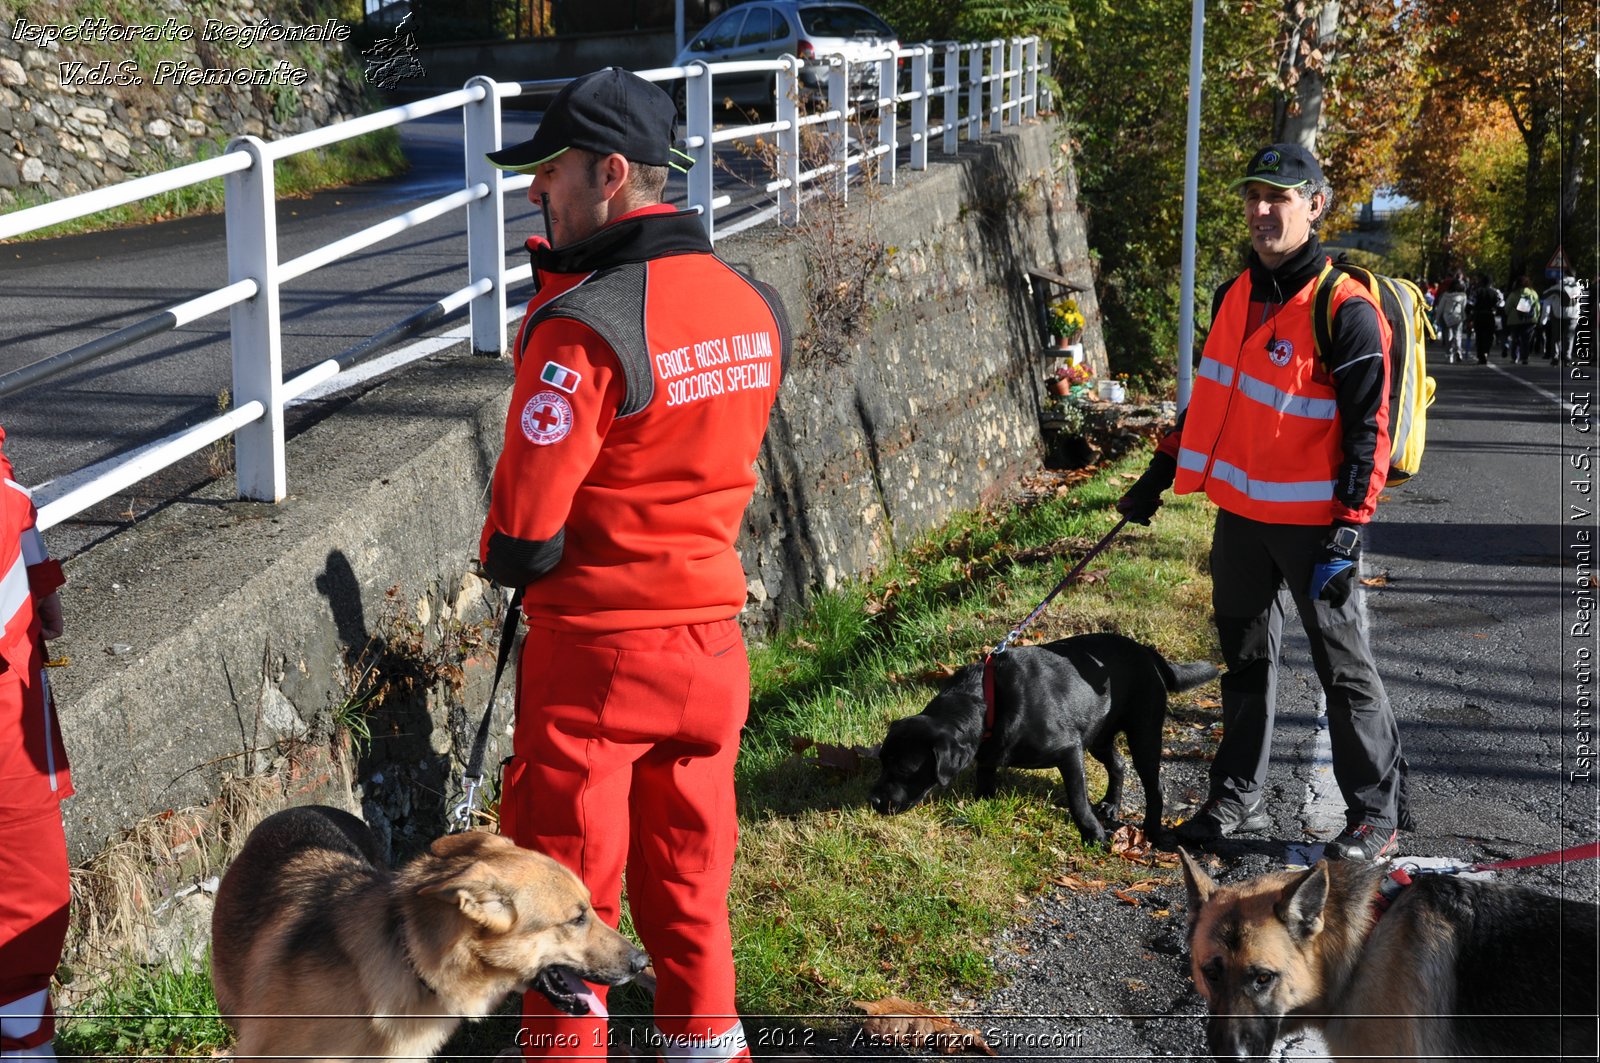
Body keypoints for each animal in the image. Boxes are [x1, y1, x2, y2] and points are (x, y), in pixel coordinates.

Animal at [870, 630, 1216, 845]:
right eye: (881, 763)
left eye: (903, 769)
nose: (873, 801)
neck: (988, 702)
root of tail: (1148, 652)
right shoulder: (989, 754)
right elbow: (985, 777)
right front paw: (982, 803)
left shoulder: (1069, 750)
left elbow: (1077, 801)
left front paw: (1093, 835)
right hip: (1099, 735)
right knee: (1118, 765)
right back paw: (1110, 805)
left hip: (1143, 733)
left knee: (1154, 785)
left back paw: (1152, 831)